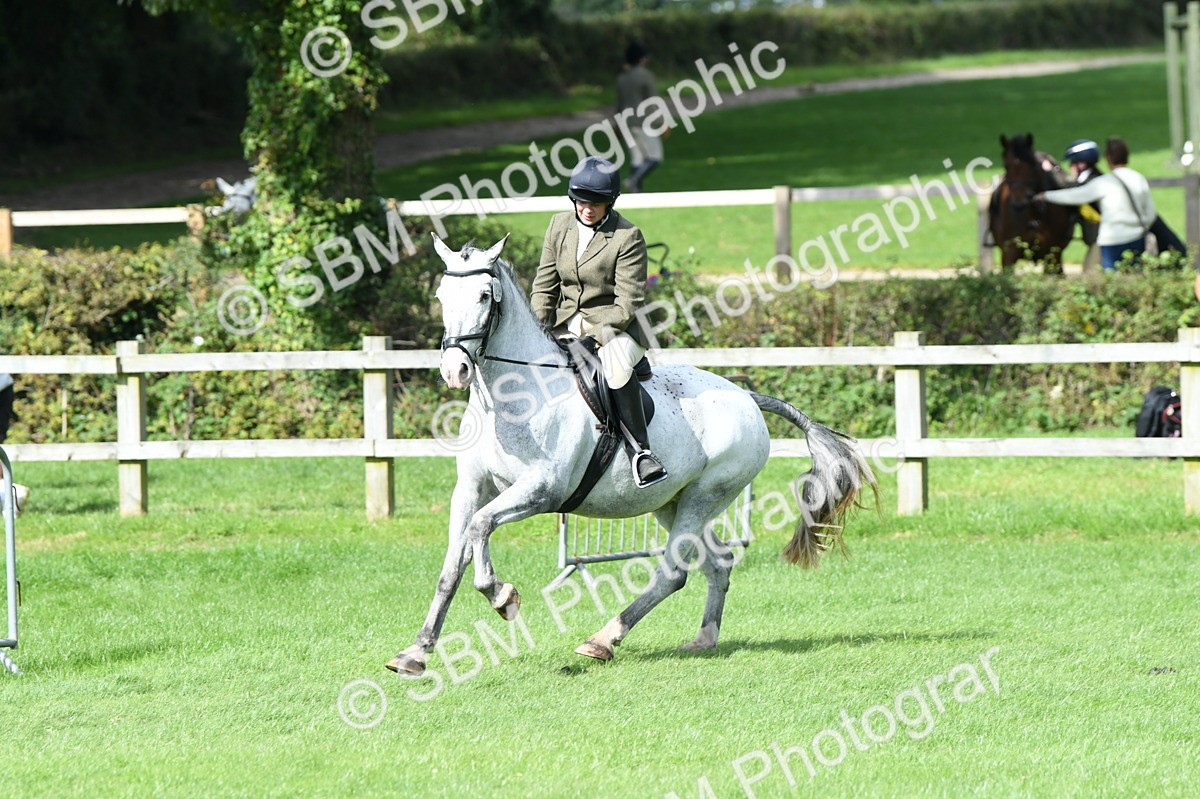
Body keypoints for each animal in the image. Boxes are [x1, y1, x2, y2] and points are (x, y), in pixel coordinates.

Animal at [385, 235, 878, 675]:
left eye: (485, 296)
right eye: (441, 296)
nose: (455, 371)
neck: (514, 397)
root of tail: (747, 397)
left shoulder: (542, 491)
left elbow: (481, 527)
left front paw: (503, 597)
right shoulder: (470, 487)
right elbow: (453, 563)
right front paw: (415, 653)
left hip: (705, 495)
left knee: (672, 573)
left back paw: (603, 639)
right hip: (672, 502)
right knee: (718, 563)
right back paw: (703, 639)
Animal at [988, 133, 1077, 275]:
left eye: (1032, 165)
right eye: (1006, 165)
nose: (1019, 200)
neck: (1034, 216)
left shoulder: (1052, 255)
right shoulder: (1008, 255)